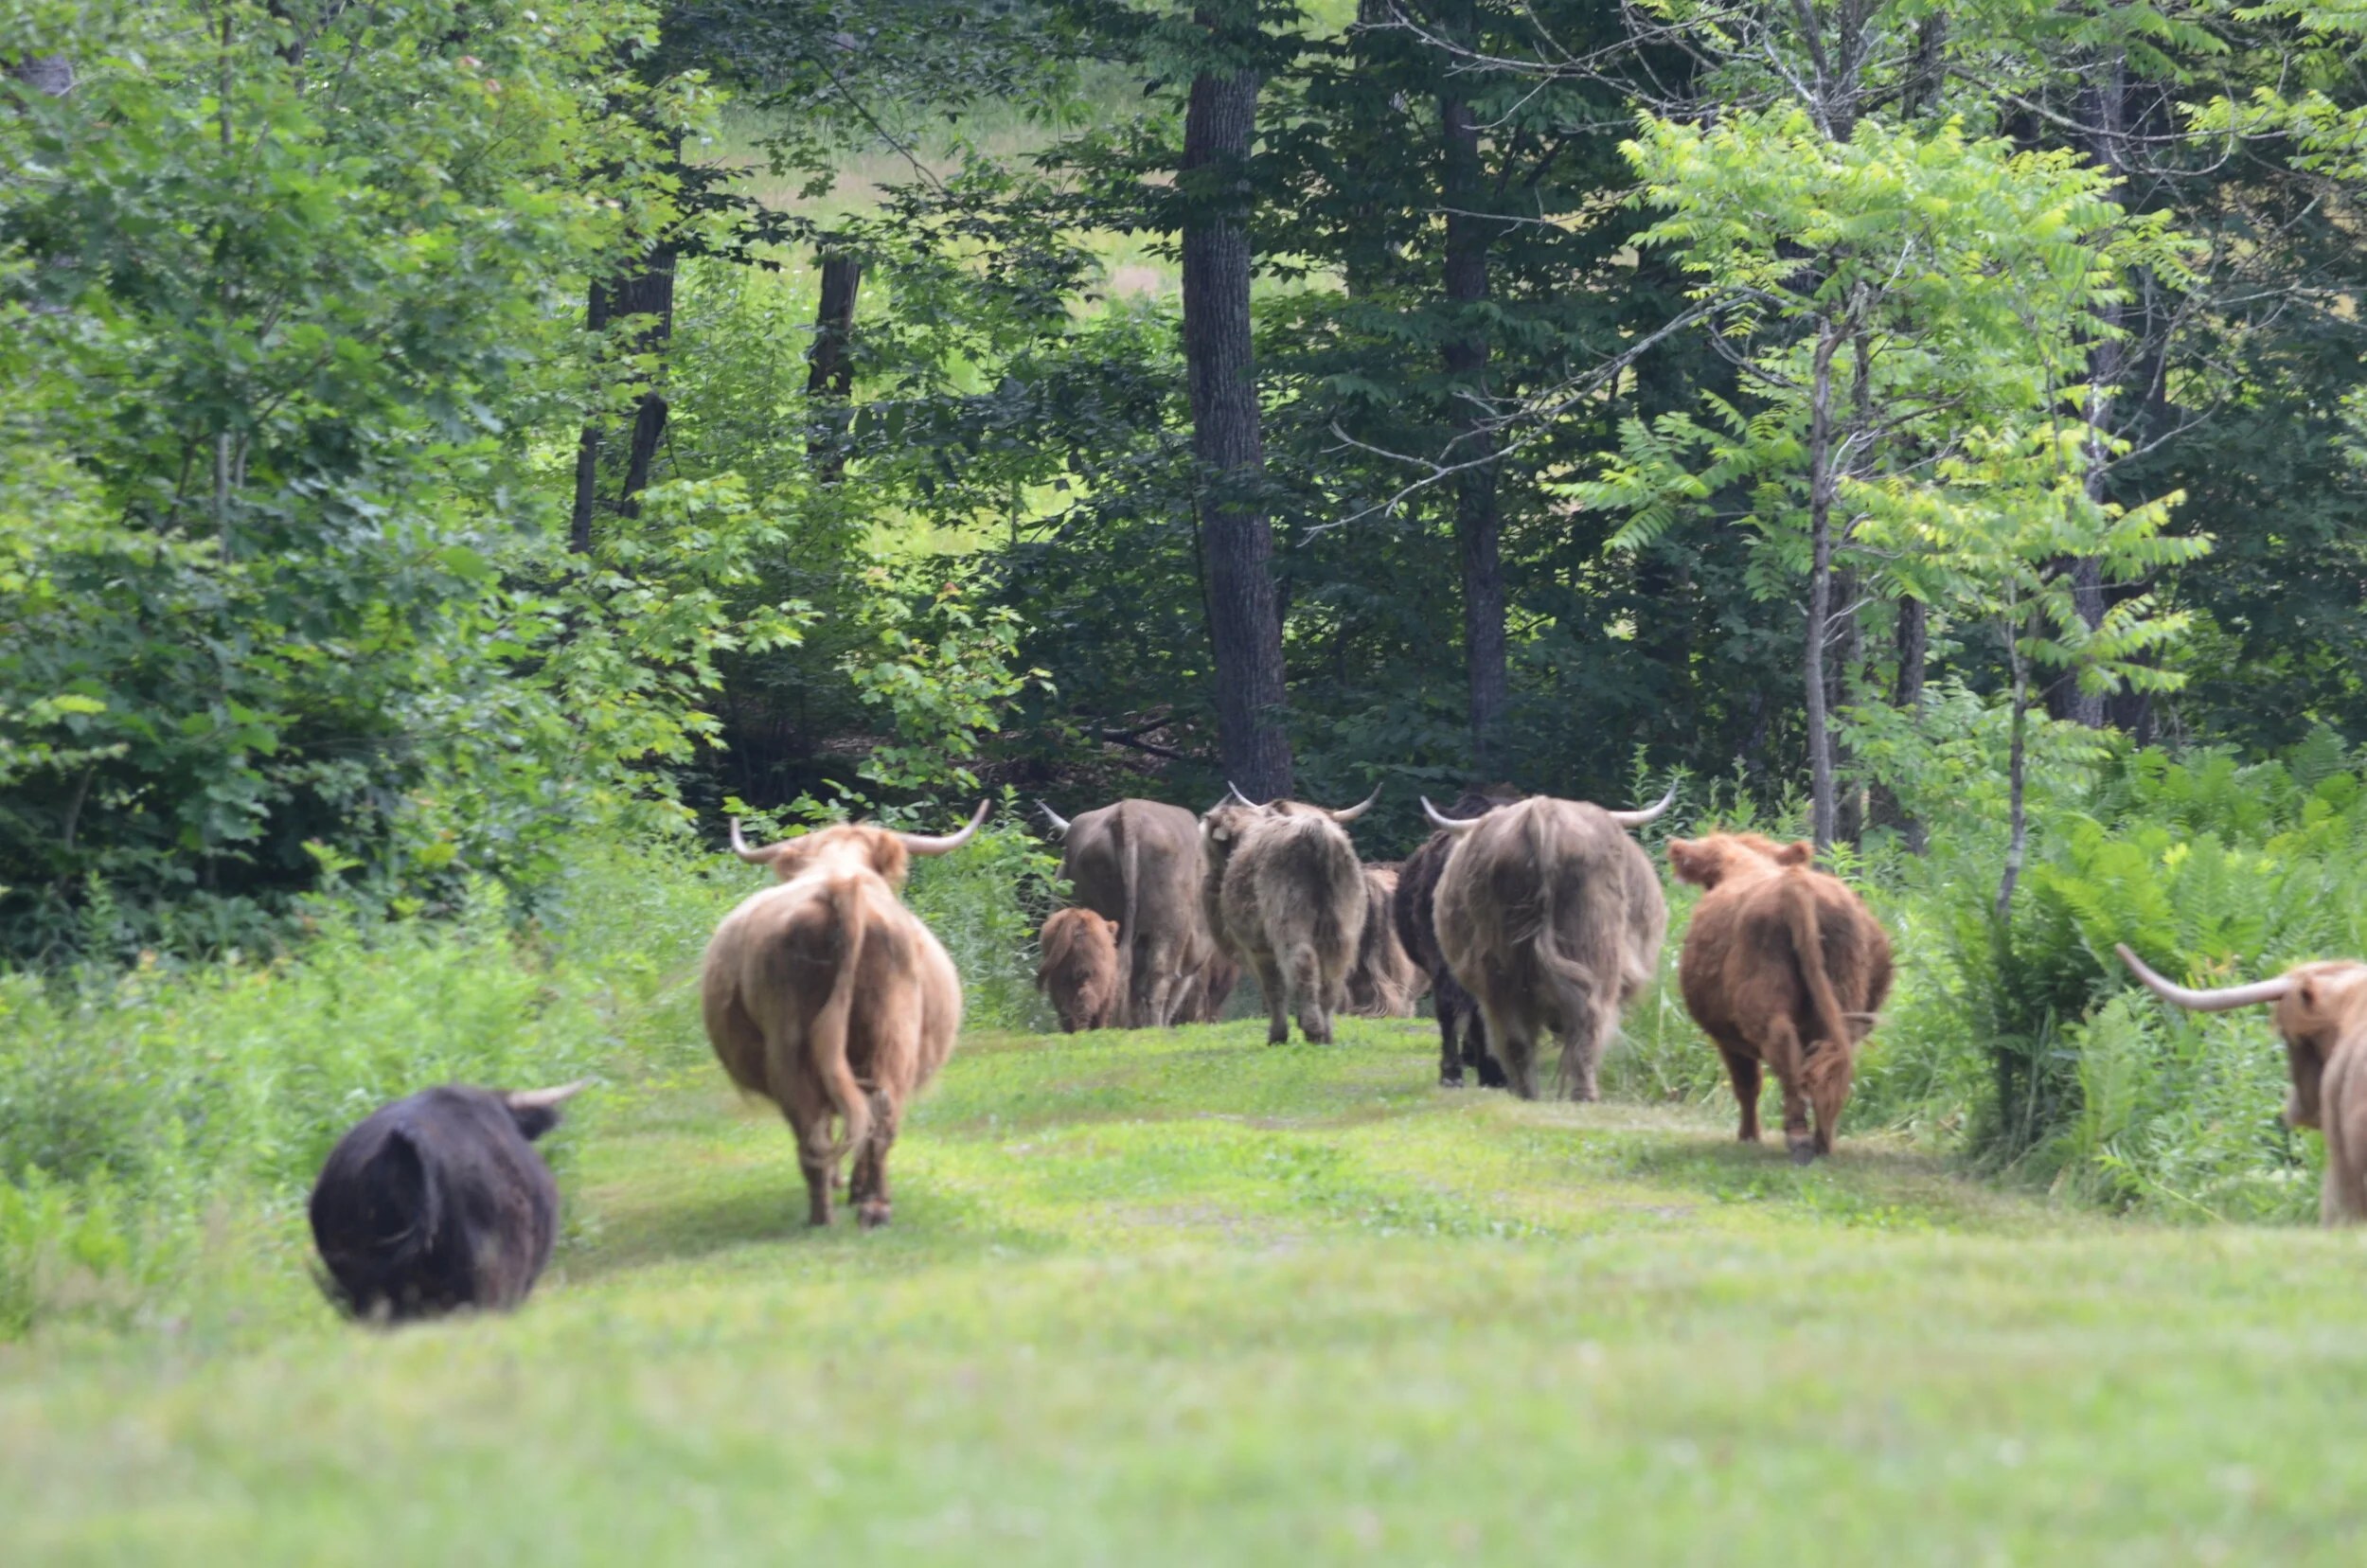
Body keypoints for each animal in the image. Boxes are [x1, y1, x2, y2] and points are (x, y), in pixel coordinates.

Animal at [702, 801, 987, 1228]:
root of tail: (841, 888)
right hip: (883, 1034)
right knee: (867, 1117)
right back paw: (866, 1206)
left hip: (798, 1043)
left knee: (829, 1122)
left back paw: (834, 1209)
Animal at [1037, 906, 1123, 1033]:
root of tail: (1075, 915)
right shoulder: (1110, 984)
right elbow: (1104, 1006)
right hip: (1093, 970)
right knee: (1086, 998)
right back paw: (1083, 1029)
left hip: (1058, 969)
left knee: (1064, 1004)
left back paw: (1070, 1029)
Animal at [1200, 785, 1379, 1045]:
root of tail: (1316, 832)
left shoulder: (1257, 947)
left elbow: (1273, 986)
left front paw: (1278, 1034)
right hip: (1343, 926)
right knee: (1334, 971)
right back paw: (1326, 1032)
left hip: (1287, 921)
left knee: (1301, 961)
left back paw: (1313, 1029)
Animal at [1426, 788, 1673, 1100]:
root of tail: (1541, 818)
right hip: (1596, 948)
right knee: (1587, 1020)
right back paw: (1584, 1095)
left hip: (1498, 965)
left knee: (1514, 1033)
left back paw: (1527, 1093)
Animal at [1667, 833, 1892, 1163]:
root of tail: (1796, 885)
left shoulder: (1727, 1039)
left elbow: (1747, 1084)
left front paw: (1748, 1136)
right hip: (1844, 993)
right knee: (1828, 1055)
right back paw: (1823, 1139)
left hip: (1760, 1000)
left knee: (1782, 1043)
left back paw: (1798, 1135)